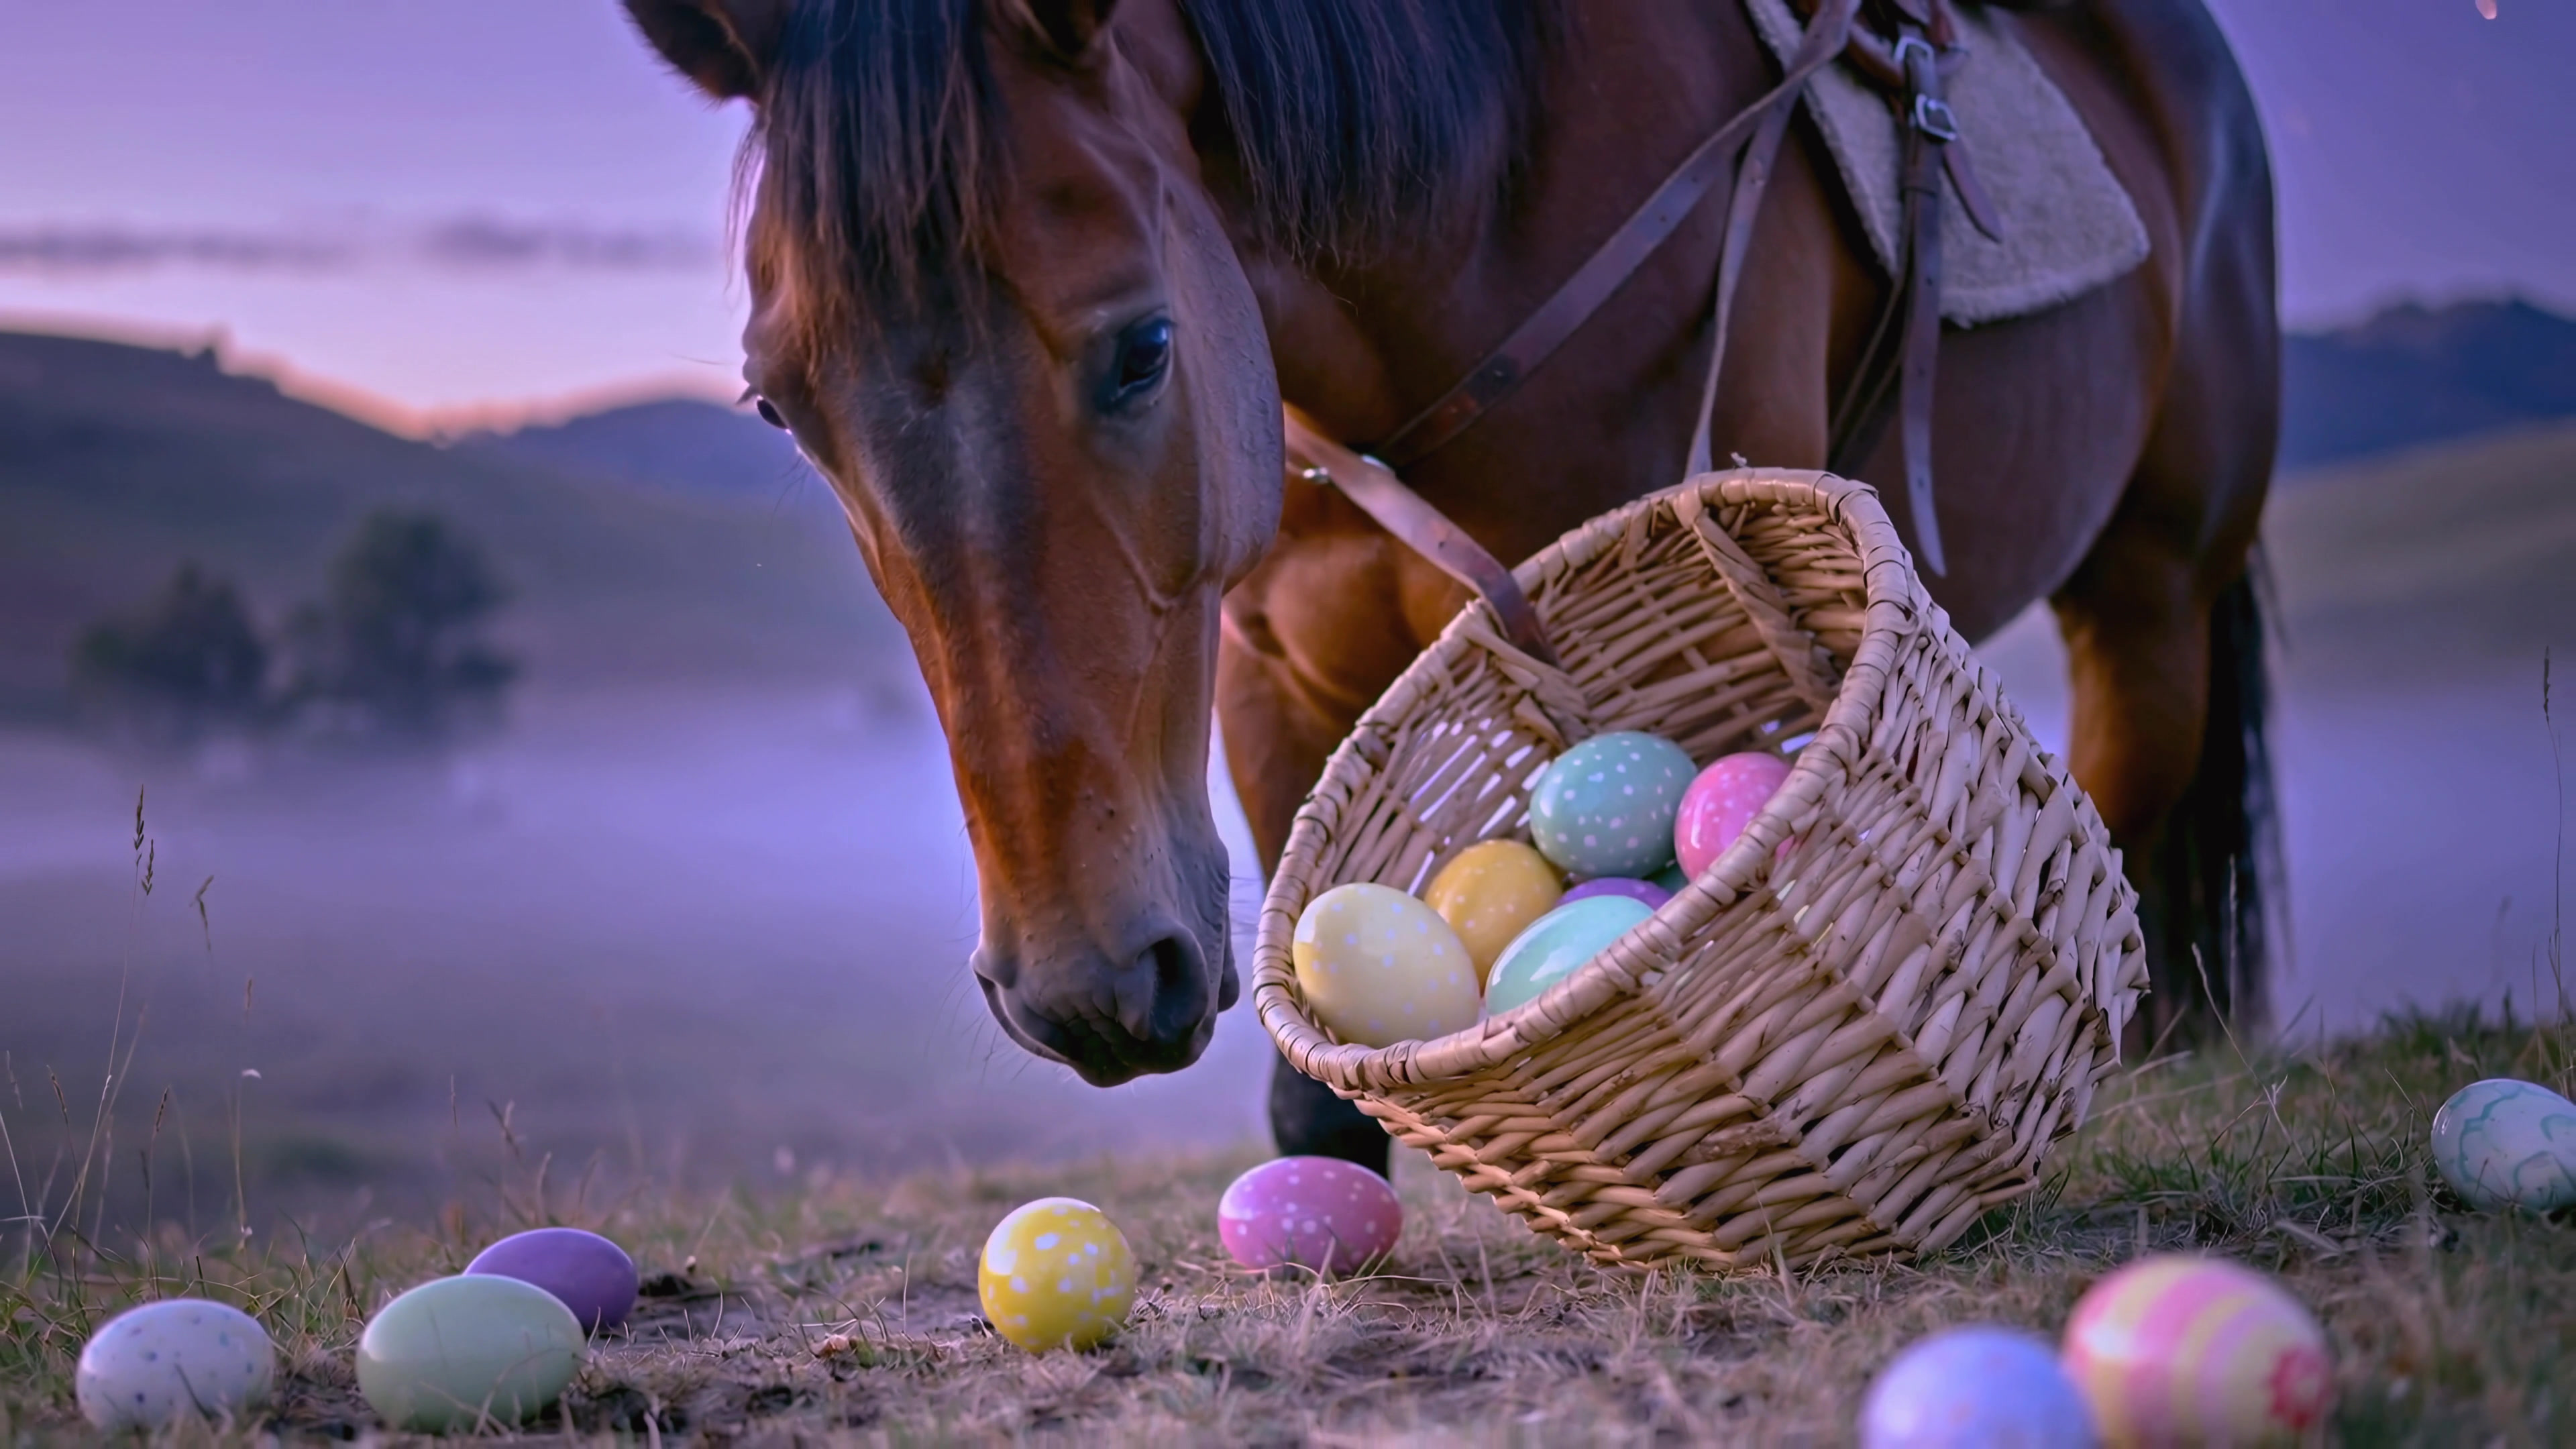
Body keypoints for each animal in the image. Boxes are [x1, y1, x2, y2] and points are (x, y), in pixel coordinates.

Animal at [623, 0, 2278, 1173]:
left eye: (1145, 347)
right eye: (779, 406)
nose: (1081, 983)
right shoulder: (1267, 675)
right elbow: (1315, 1113)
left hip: (2154, 593)